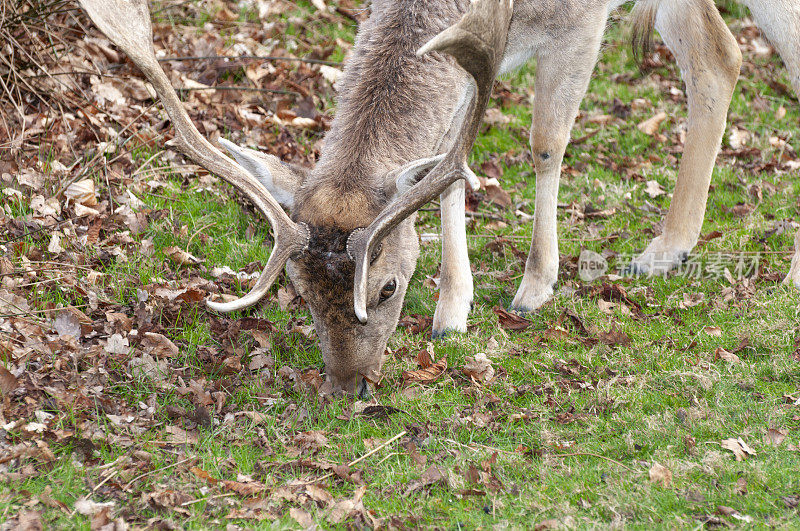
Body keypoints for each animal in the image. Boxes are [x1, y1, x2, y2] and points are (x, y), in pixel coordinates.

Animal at [83, 0, 800, 394]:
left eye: (388, 286)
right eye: (299, 289)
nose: (348, 386)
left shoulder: (581, 23)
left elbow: (546, 141)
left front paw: (536, 283)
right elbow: (452, 166)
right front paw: (454, 308)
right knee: (720, 54)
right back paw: (665, 249)